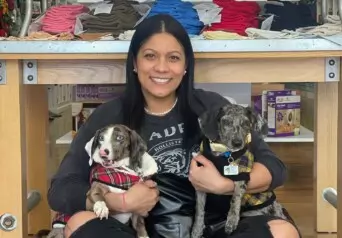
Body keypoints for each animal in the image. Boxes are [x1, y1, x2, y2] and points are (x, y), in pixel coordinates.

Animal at [191, 102, 288, 238]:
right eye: (226, 122)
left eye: (246, 123)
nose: (237, 143)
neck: (223, 153)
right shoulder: (200, 185)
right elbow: (199, 209)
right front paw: (197, 229)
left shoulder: (241, 177)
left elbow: (235, 198)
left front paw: (231, 221)